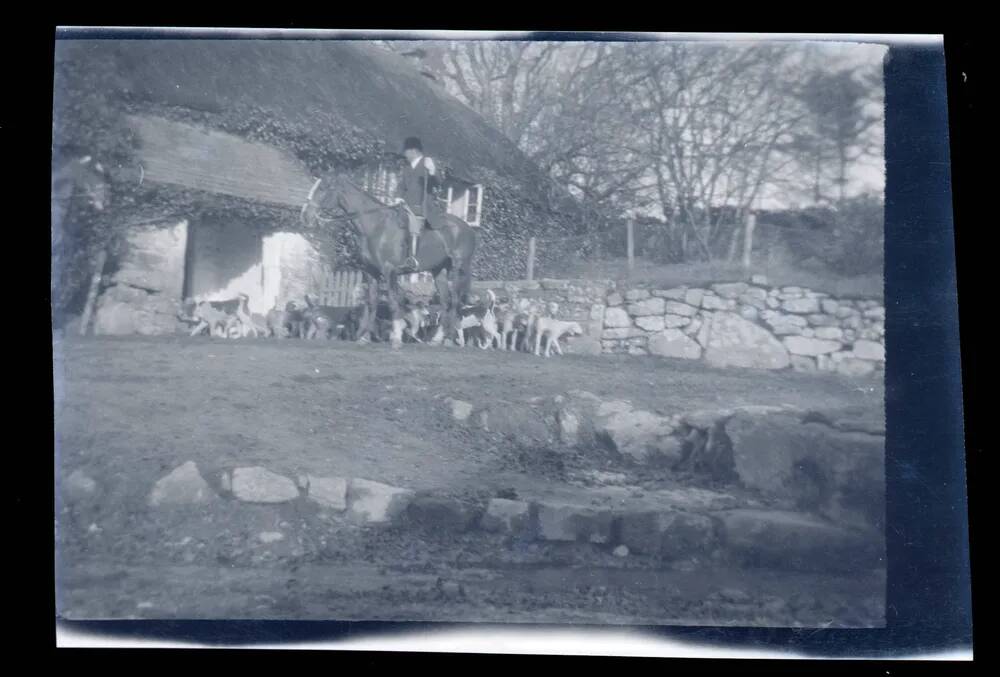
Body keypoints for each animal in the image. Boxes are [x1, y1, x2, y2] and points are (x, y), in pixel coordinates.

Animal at [298, 173, 478, 348]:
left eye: (323, 188)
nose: (305, 217)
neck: (376, 226)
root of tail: (466, 227)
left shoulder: (389, 271)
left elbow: (393, 303)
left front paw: (396, 338)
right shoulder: (370, 273)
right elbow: (372, 303)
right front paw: (365, 337)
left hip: (458, 269)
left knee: (455, 301)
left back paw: (449, 339)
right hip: (438, 271)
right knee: (445, 302)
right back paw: (437, 339)